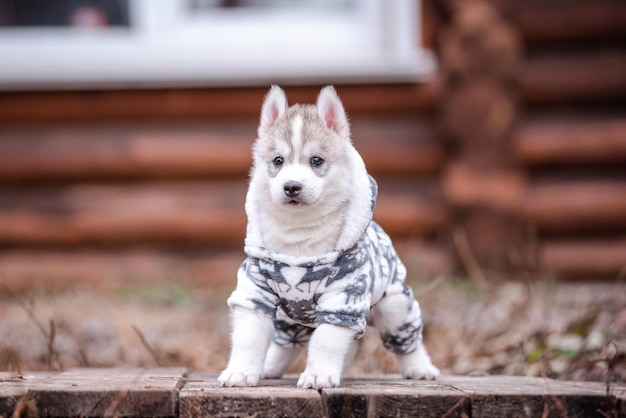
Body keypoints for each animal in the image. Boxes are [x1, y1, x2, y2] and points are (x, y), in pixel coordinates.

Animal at [217, 85, 436, 388]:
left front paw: (318, 374)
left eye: (316, 160)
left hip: (396, 306)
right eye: (278, 161)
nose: (291, 187)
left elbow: (326, 340)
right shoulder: (255, 290)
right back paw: (270, 366)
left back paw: (420, 367)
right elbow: (248, 336)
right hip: (289, 320)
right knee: (286, 343)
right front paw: (241, 371)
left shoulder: (343, 296)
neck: (299, 236)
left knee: (406, 340)